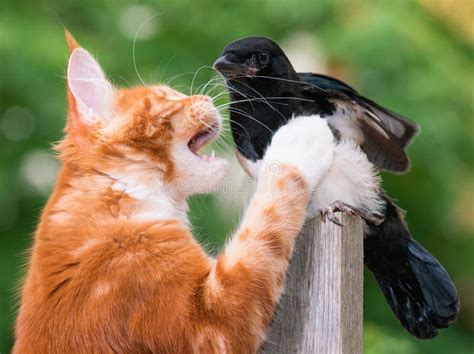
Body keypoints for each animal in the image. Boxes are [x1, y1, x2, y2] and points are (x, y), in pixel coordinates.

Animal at [13, 34, 334, 354]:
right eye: (166, 96)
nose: (206, 98)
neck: (119, 191)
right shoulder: (209, 321)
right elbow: (268, 218)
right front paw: (300, 137)